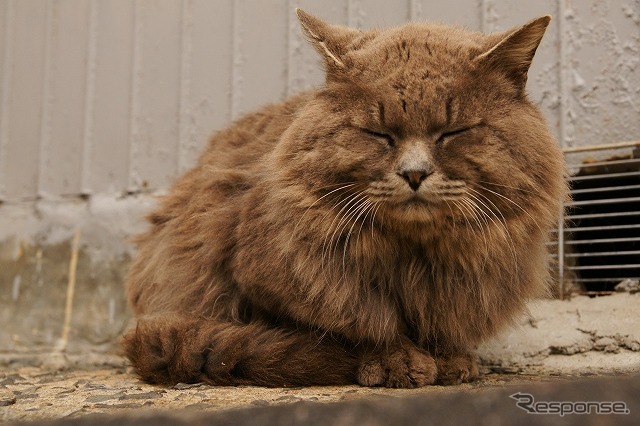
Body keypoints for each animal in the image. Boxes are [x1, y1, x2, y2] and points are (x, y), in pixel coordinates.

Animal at [122, 9, 568, 390]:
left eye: (453, 132)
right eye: (379, 134)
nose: (414, 174)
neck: (416, 257)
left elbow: (443, 325)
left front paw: (451, 361)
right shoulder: (270, 279)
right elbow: (364, 326)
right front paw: (395, 362)